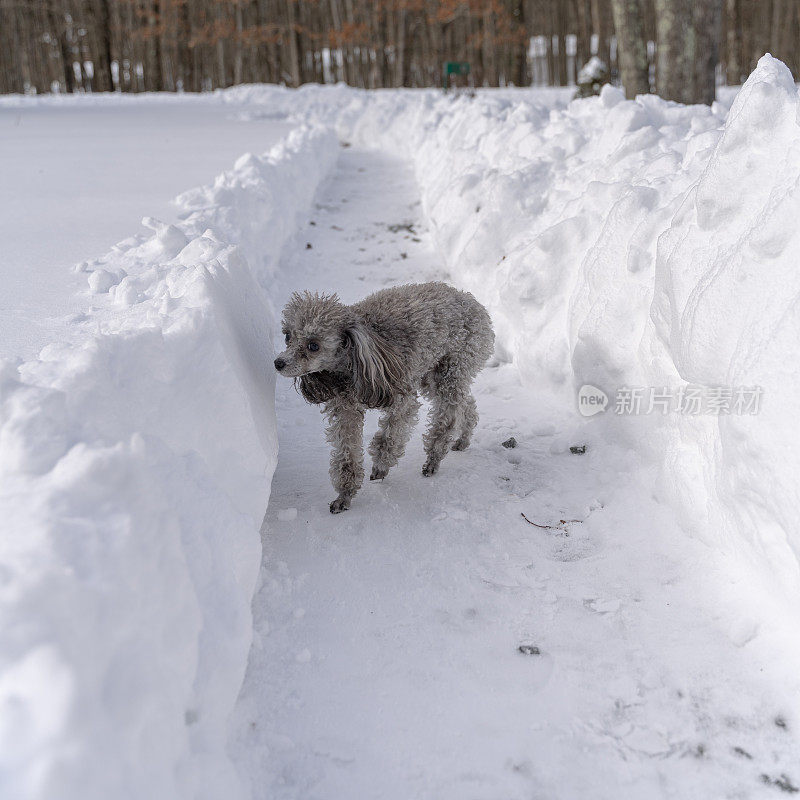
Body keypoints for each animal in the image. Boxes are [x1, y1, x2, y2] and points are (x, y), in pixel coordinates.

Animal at [278, 282, 496, 512]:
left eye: (313, 345)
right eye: (287, 336)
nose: (278, 363)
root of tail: (473, 302)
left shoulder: (401, 399)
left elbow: (390, 435)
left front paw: (381, 466)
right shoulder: (346, 409)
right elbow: (347, 453)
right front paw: (345, 494)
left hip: (452, 369)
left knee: (448, 417)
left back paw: (434, 458)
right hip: (432, 376)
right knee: (466, 403)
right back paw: (463, 438)